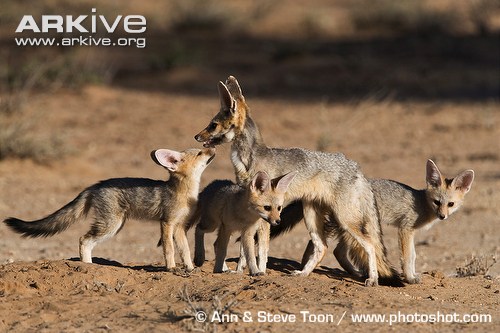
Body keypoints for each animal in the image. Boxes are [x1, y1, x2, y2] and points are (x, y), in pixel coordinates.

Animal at [3, 147, 215, 270]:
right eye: (200, 153)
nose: (212, 147)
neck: (185, 193)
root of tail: (96, 184)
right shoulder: (167, 222)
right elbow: (169, 249)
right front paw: (171, 269)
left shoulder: (180, 227)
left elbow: (185, 250)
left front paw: (190, 268)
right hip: (111, 225)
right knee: (83, 239)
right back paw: (88, 267)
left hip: (114, 226)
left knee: (87, 241)